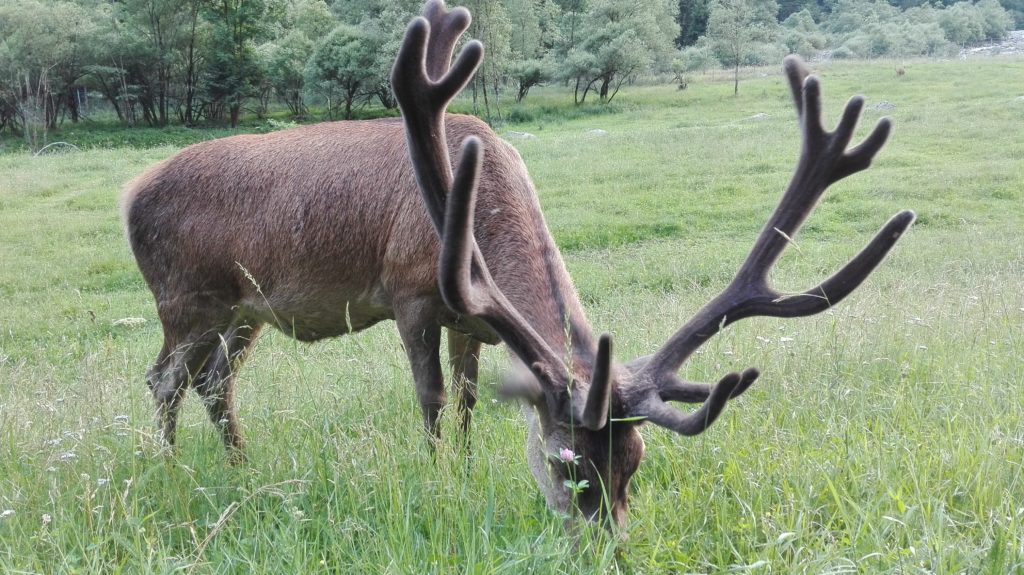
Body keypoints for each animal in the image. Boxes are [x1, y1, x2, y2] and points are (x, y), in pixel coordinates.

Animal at [123, 0, 917, 523]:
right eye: (569, 464)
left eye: (635, 461)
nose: (603, 539)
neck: (478, 210)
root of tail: (131, 192)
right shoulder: (410, 293)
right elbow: (431, 398)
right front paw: (439, 480)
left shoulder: (469, 319)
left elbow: (471, 400)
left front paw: (469, 469)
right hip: (186, 296)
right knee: (163, 377)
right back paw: (168, 472)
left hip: (243, 310)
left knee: (214, 381)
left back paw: (240, 468)